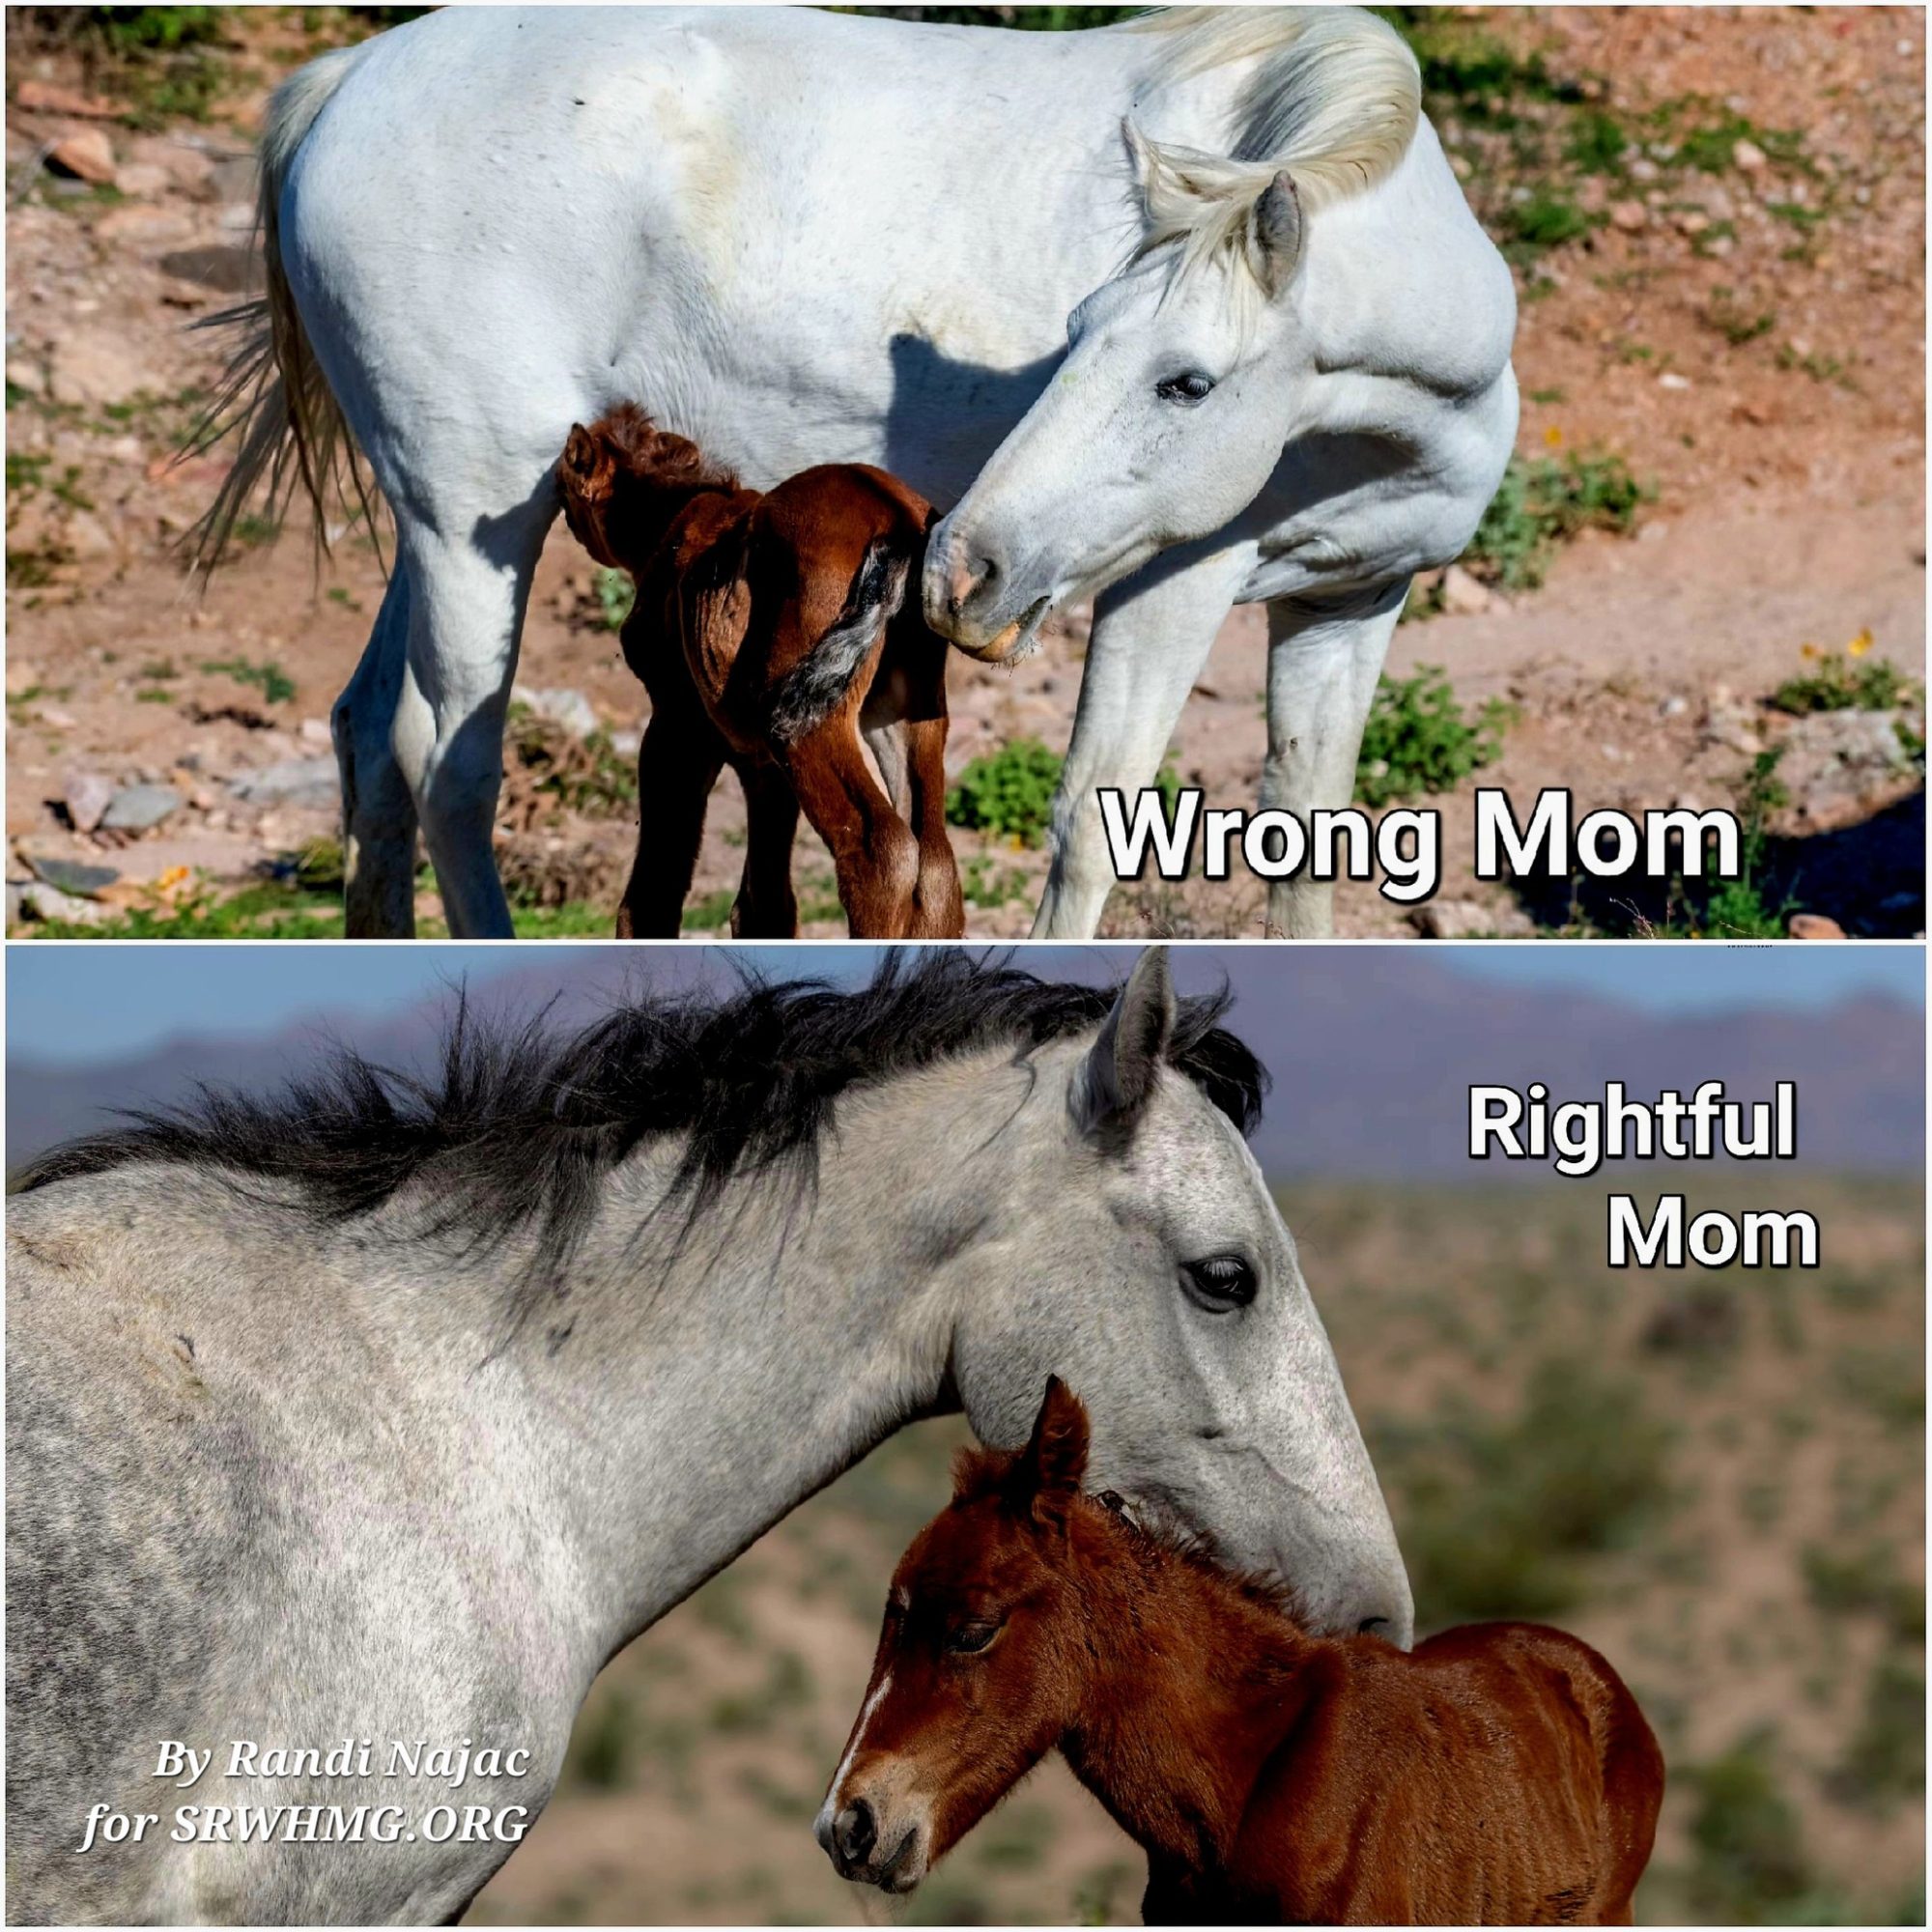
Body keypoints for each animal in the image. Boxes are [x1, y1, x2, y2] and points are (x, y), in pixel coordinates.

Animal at [555, 407, 963, 939]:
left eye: (565, 486)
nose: (561, 512)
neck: (674, 521)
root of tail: (894, 521)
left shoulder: (679, 724)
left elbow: (657, 888)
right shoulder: (762, 766)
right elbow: (764, 904)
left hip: (803, 722)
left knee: (882, 852)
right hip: (905, 713)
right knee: (934, 864)